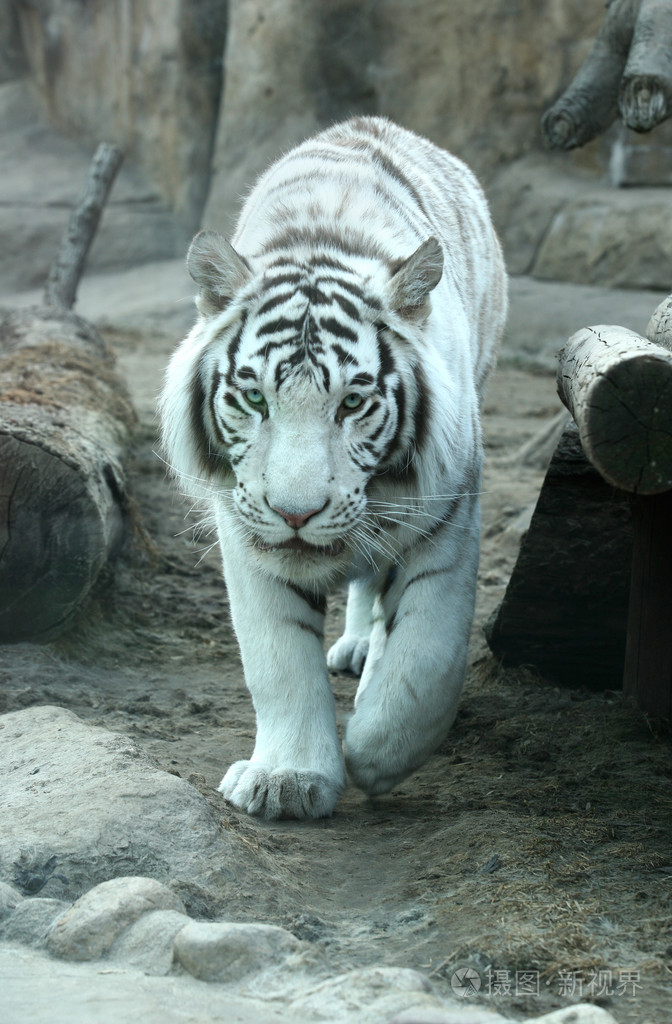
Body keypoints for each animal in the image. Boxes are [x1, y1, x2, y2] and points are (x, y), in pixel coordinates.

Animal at [160, 116, 507, 820]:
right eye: (254, 398)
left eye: (351, 402)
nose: (296, 514)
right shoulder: (246, 533)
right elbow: (277, 660)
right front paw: (287, 781)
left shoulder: (449, 516)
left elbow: (427, 658)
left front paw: (375, 754)